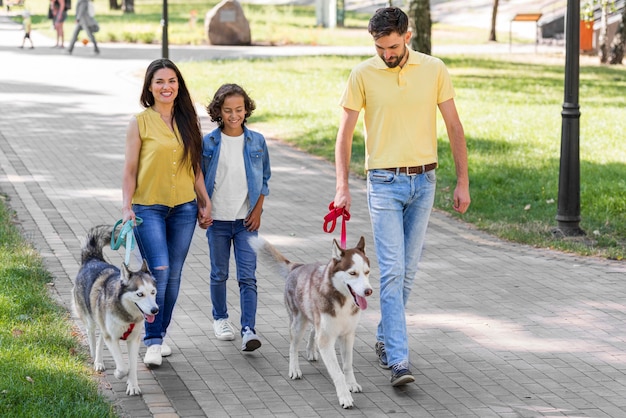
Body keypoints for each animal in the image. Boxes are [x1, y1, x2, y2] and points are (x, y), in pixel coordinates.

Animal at [72, 225, 158, 396]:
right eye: (140, 294)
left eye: (153, 292)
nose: (155, 310)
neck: (128, 315)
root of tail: (92, 259)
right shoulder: (112, 338)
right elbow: (123, 367)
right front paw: (119, 373)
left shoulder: (133, 340)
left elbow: (132, 366)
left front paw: (132, 385)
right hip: (90, 320)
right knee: (93, 338)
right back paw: (96, 360)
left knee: (100, 339)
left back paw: (99, 361)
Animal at [252, 238, 370, 408]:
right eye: (353, 273)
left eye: (367, 272)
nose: (369, 291)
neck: (343, 301)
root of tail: (297, 266)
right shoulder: (326, 340)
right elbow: (338, 373)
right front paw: (344, 397)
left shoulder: (347, 335)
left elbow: (347, 365)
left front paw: (351, 384)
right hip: (298, 324)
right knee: (293, 347)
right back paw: (294, 369)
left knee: (314, 331)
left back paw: (311, 350)